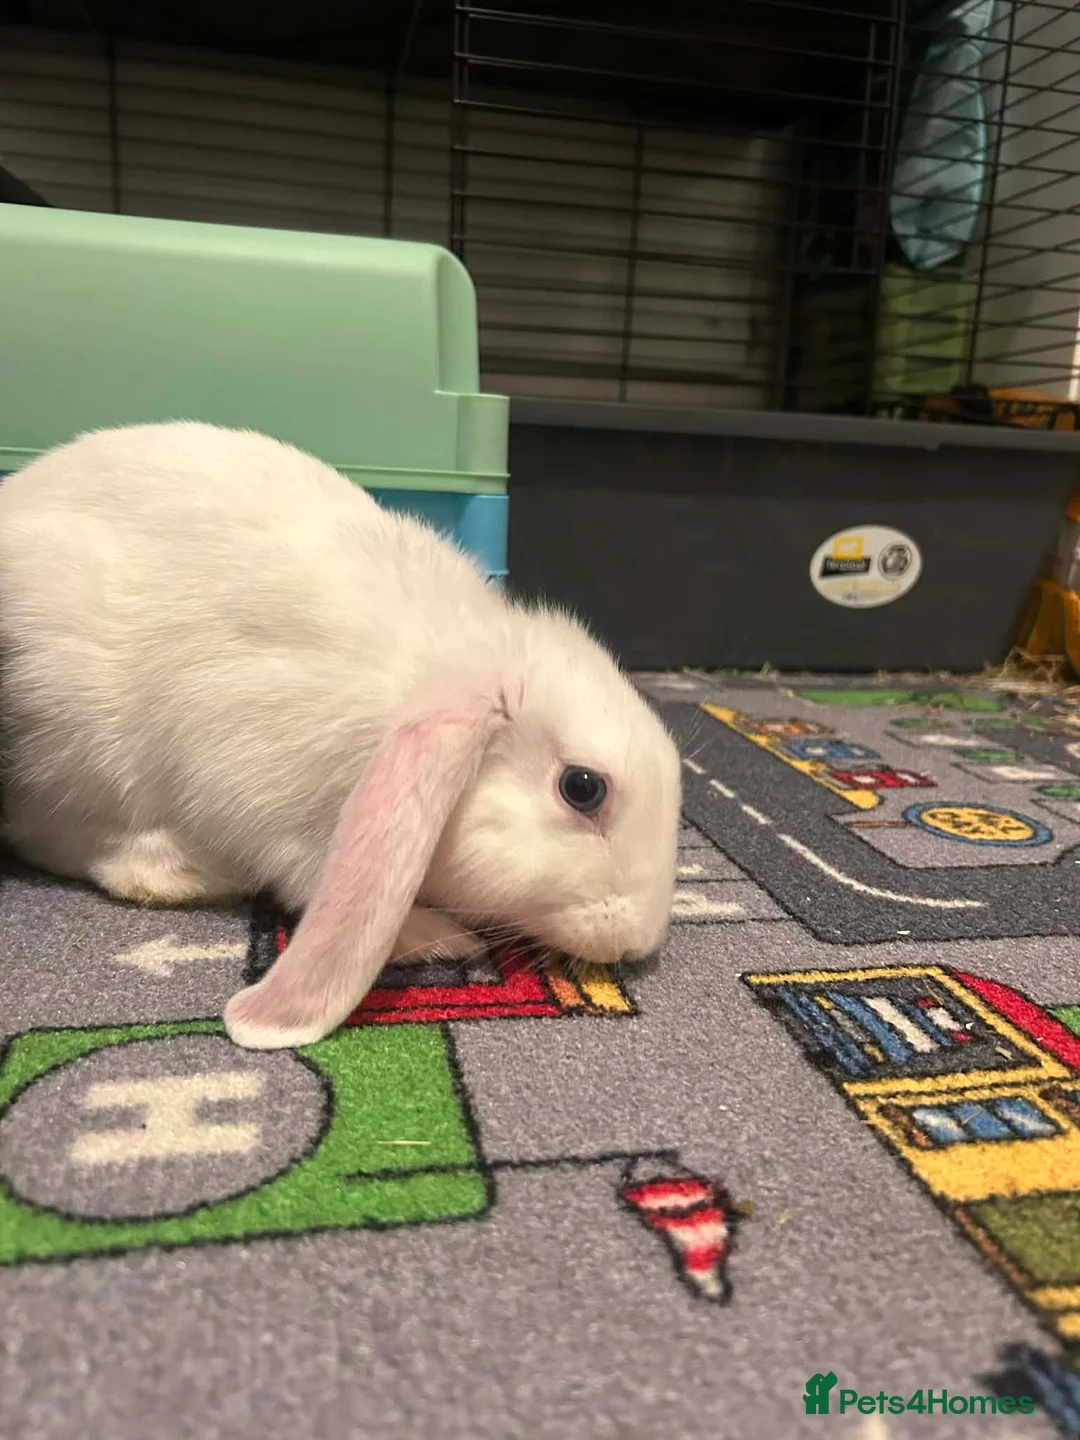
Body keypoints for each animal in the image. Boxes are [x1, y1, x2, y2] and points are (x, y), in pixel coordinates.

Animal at [0, 420, 682, 1049]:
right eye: (583, 787)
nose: (639, 940)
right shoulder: (268, 794)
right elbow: (308, 879)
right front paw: (432, 936)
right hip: (82, 746)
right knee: (77, 846)